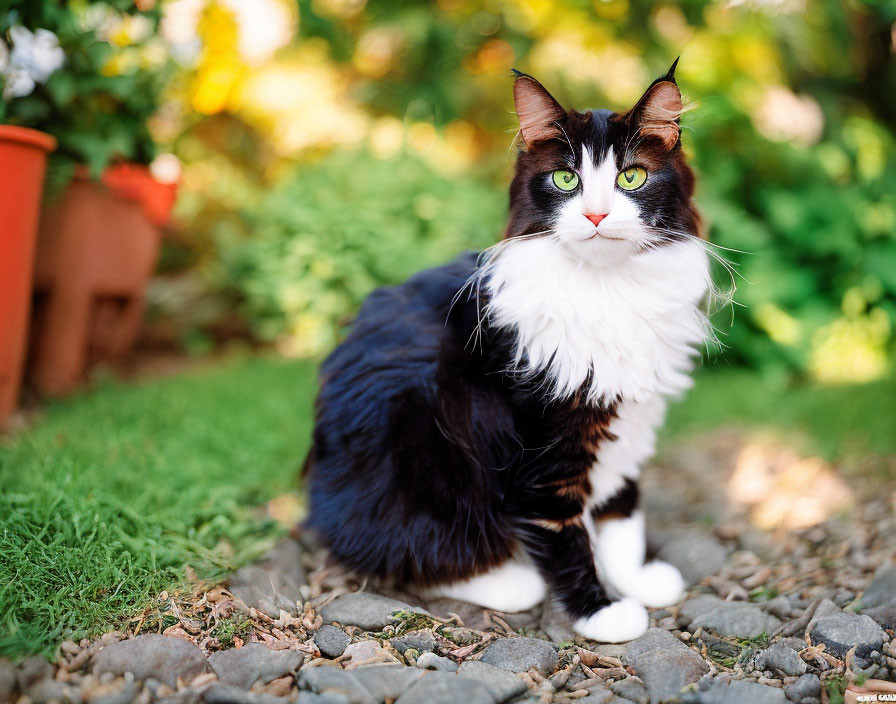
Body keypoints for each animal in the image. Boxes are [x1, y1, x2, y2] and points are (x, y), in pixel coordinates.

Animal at [304, 62, 712, 644]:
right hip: (424, 441)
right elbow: (564, 536)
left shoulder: (626, 416)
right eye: (566, 179)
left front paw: (634, 580)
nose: (595, 215)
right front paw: (602, 611)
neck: (607, 291)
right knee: (414, 554)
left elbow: (622, 512)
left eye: (631, 178)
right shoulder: (544, 455)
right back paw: (511, 578)